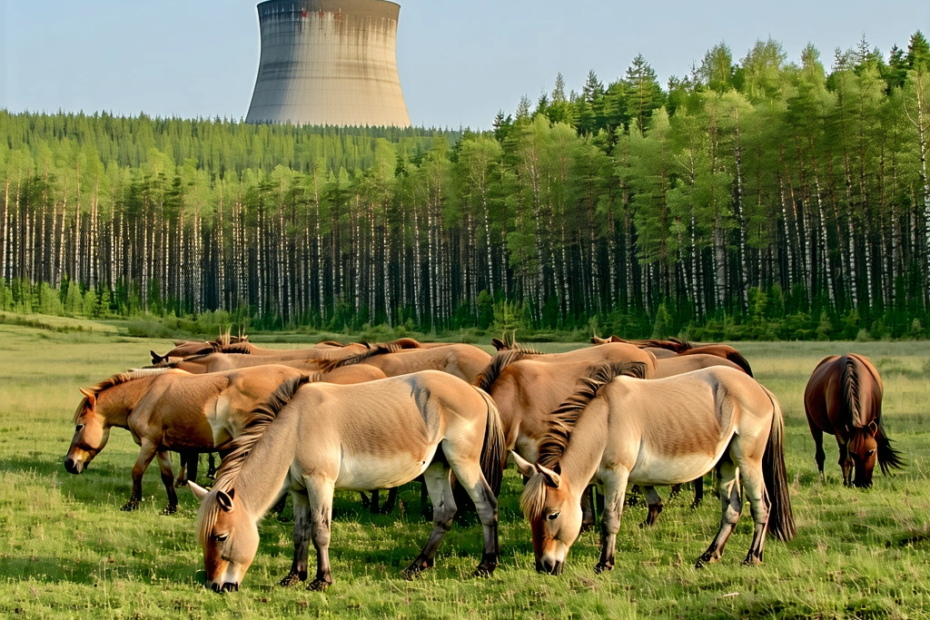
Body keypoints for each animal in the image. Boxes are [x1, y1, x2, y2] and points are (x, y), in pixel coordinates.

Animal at [188, 371, 506, 592]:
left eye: (220, 537)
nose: (216, 586)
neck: (294, 429)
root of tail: (474, 390)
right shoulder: (300, 491)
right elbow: (299, 533)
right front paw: (294, 576)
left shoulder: (320, 484)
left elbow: (320, 531)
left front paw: (321, 580)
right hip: (437, 466)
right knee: (444, 513)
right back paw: (417, 566)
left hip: (463, 461)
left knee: (486, 505)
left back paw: (486, 565)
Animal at [514, 363, 795, 575]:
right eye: (529, 516)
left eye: (552, 515)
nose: (544, 567)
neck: (605, 422)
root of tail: (760, 388)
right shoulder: (603, 483)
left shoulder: (617, 476)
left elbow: (610, 520)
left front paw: (604, 564)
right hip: (726, 462)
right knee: (732, 508)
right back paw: (708, 555)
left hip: (748, 460)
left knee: (762, 506)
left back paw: (752, 557)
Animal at [804, 354, 904, 487]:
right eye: (853, 453)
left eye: (871, 451)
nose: (863, 483)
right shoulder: (840, 430)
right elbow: (845, 458)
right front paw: (847, 483)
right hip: (813, 425)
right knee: (820, 454)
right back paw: (823, 480)